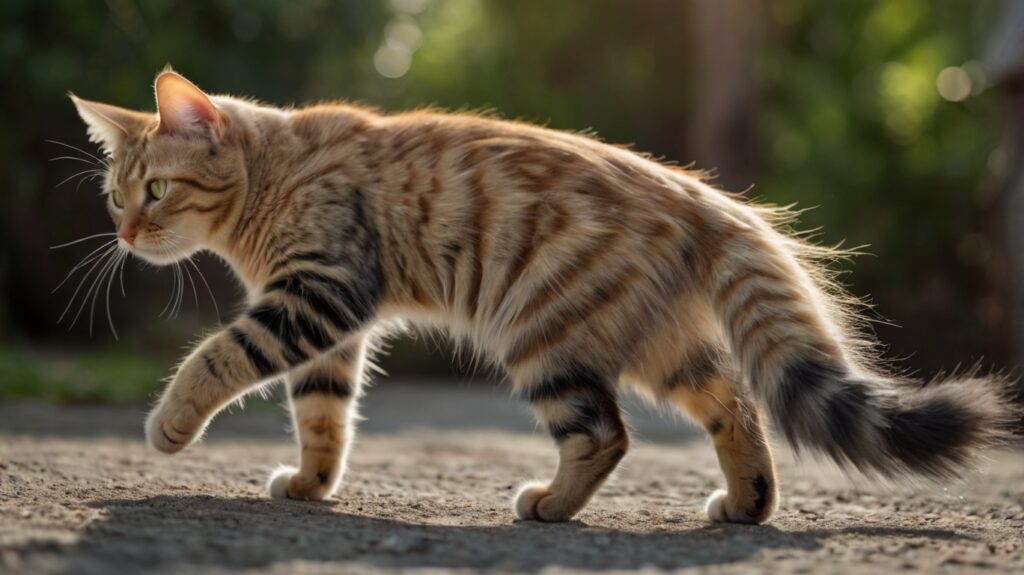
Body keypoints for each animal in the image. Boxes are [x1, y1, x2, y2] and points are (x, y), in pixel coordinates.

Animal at [68, 68, 1011, 523]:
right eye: (113, 198)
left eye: (156, 192)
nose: (127, 235)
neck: (275, 176)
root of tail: (707, 198)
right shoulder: (330, 328)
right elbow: (324, 415)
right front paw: (310, 483)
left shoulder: (318, 294)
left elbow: (216, 356)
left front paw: (168, 426)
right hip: (665, 347)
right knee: (736, 407)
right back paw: (745, 505)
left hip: (540, 334)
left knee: (605, 432)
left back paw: (549, 506)